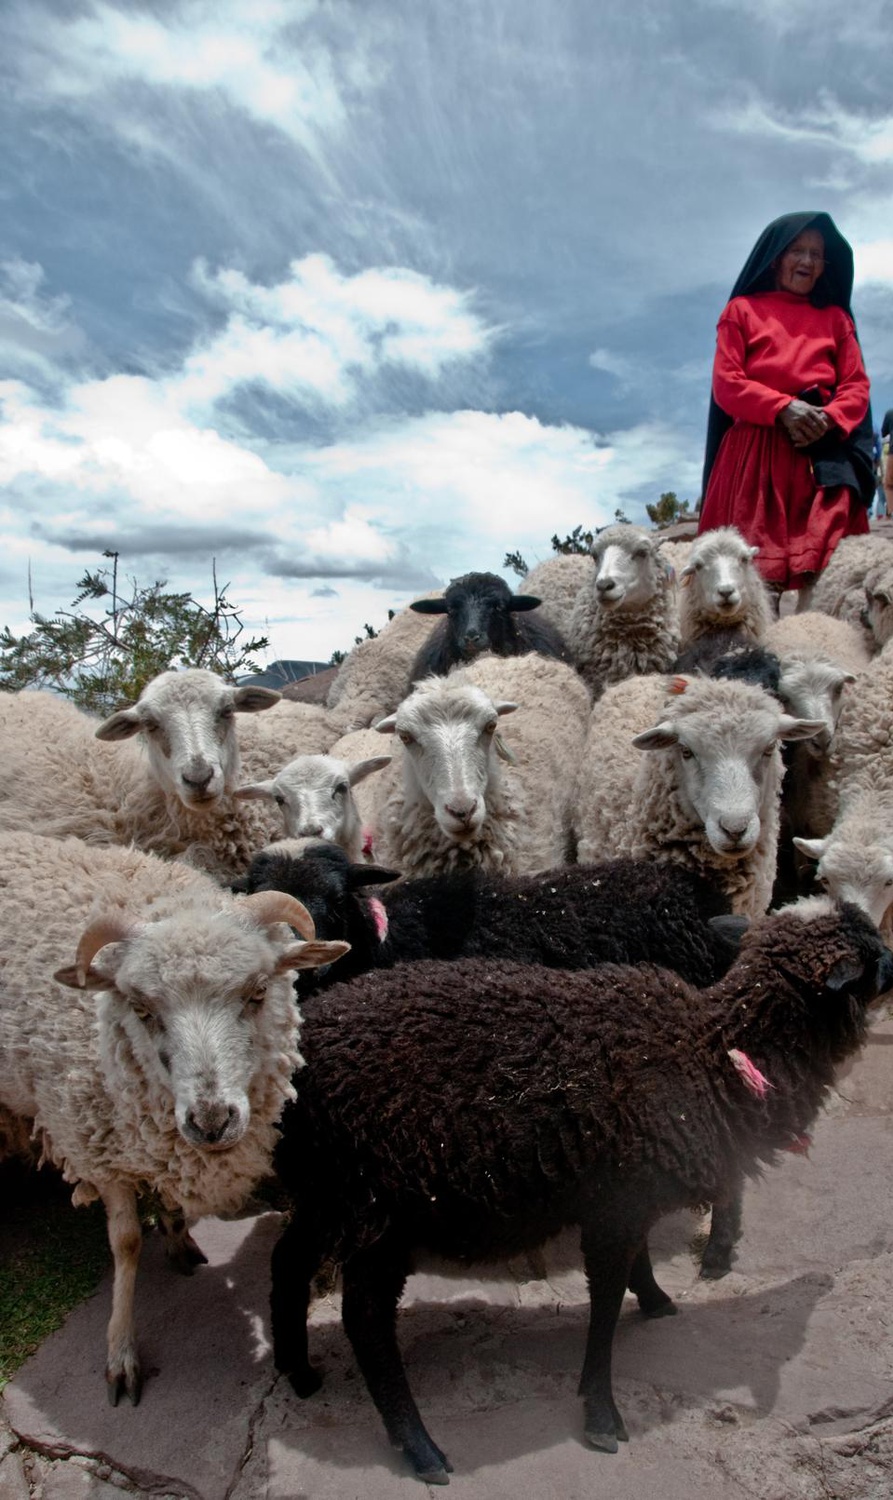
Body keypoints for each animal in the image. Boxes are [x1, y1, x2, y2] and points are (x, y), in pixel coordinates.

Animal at [0, 830, 348, 1404]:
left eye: (258, 992)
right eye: (141, 1009)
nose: (211, 1121)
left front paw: (177, 1234)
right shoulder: (97, 1147)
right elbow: (125, 1243)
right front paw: (121, 1353)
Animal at [269, 899, 893, 1481]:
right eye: (874, 956)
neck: (714, 1056)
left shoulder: (628, 1194)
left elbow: (639, 1263)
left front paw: (657, 1301)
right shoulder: (613, 1210)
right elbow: (606, 1307)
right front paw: (601, 1414)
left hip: (326, 1187)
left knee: (289, 1261)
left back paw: (296, 1370)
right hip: (379, 1203)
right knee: (365, 1318)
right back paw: (419, 1446)